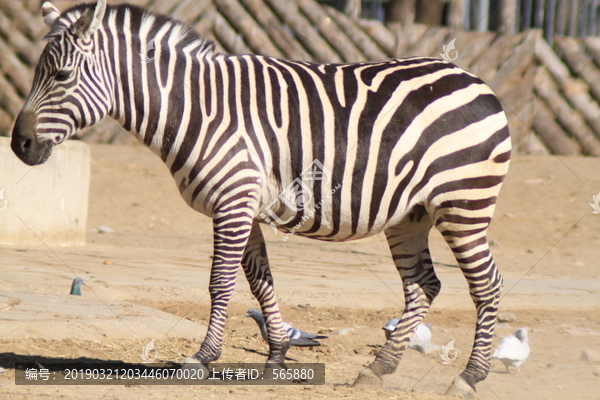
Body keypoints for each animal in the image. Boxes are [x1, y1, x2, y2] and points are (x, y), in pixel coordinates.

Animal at [12, 1, 510, 396]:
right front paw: (277, 356)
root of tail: (472, 78)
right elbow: (260, 282)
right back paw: (378, 368)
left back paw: (469, 377)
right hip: (412, 214)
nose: (19, 145)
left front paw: (202, 358)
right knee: (424, 285)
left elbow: (220, 283)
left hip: (463, 202)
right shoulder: (245, 207)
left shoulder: (233, 202)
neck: (198, 109)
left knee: (486, 285)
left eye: (61, 76)